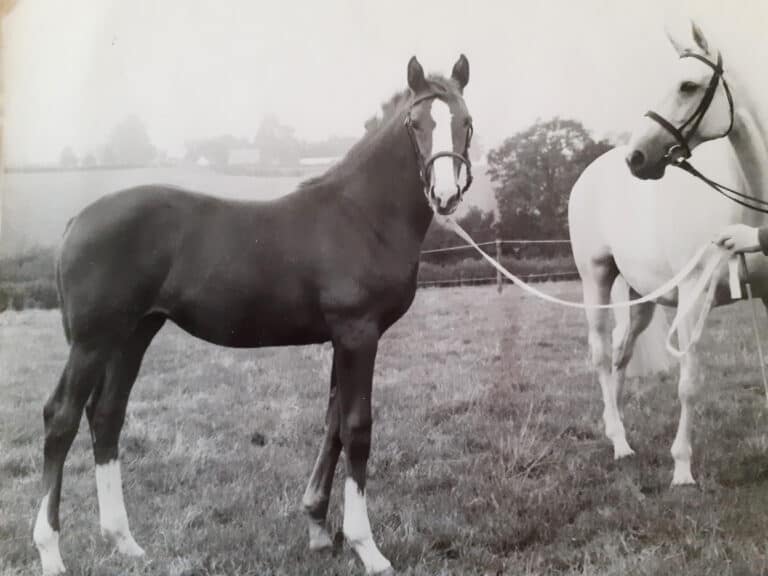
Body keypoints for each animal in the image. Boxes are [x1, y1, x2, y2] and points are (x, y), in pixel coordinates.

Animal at [32, 55, 474, 576]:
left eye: (465, 122)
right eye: (415, 122)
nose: (444, 195)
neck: (361, 215)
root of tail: (76, 221)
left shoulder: (340, 339)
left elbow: (334, 425)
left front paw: (319, 530)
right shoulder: (358, 333)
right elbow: (357, 428)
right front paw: (367, 547)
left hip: (134, 333)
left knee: (106, 416)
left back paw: (125, 542)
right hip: (93, 340)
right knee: (61, 417)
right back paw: (50, 551)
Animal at [569, 18, 768, 487]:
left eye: (688, 85)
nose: (638, 157)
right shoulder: (694, 298)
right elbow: (689, 383)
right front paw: (681, 469)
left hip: (642, 298)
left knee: (621, 354)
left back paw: (617, 427)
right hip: (595, 280)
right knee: (602, 355)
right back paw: (619, 443)